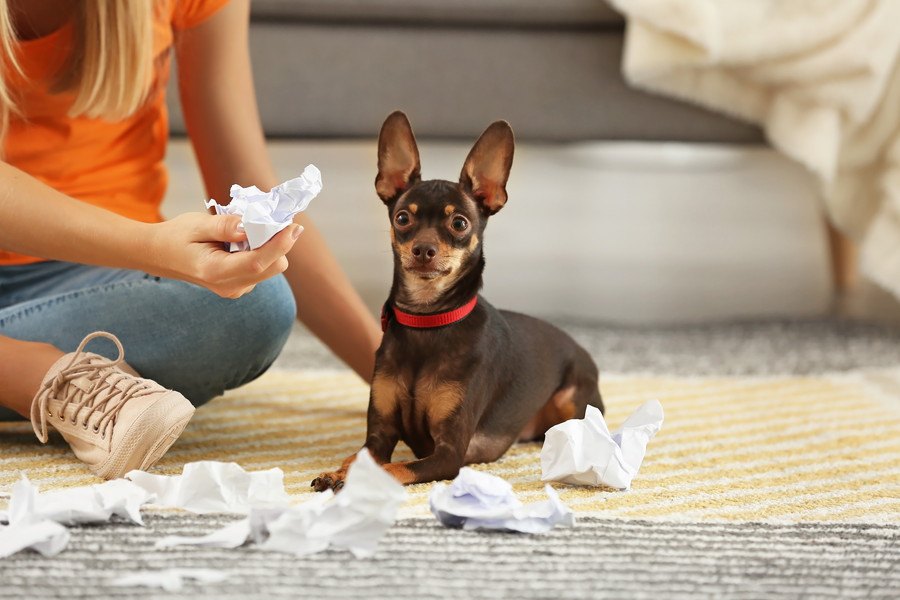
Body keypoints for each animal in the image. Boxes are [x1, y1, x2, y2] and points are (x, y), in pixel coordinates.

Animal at [312, 110, 600, 490]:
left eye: (459, 223)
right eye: (403, 218)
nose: (423, 249)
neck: (427, 320)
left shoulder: (450, 453)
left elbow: (395, 467)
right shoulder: (380, 434)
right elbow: (362, 457)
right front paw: (338, 472)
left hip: (571, 400)